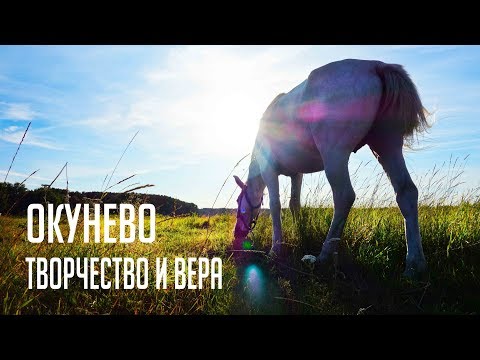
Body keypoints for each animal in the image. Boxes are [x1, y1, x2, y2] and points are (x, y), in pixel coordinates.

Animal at [232, 57, 428, 278]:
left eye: (238, 202)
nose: (237, 234)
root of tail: (375, 65)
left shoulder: (269, 171)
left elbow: (275, 205)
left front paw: (276, 248)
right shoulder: (296, 174)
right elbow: (294, 204)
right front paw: (300, 233)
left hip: (334, 155)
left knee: (344, 196)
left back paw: (324, 256)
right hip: (387, 146)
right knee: (406, 192)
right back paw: (414, 264)